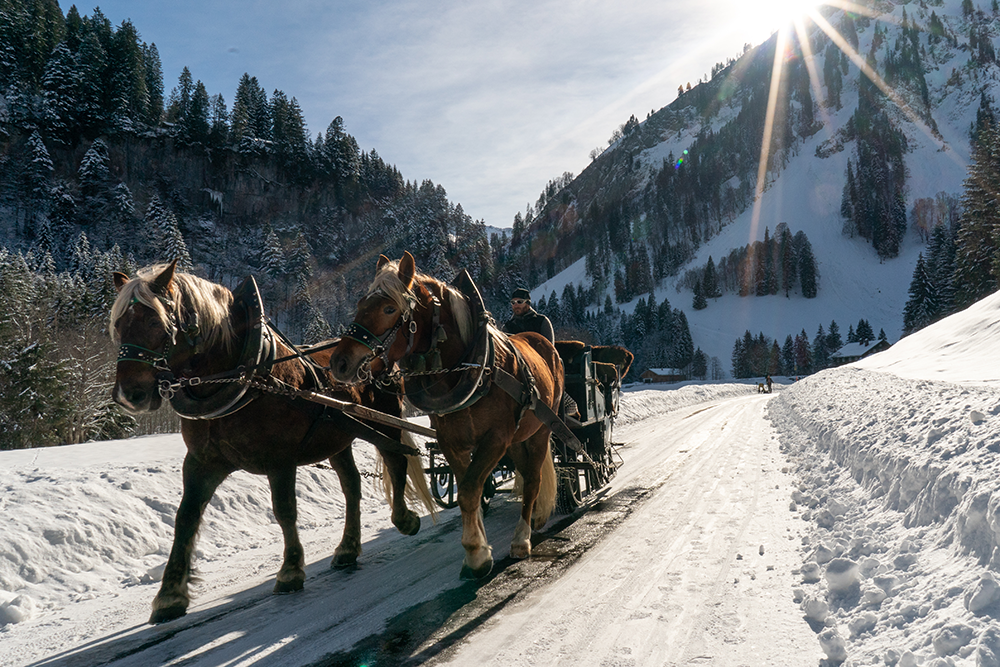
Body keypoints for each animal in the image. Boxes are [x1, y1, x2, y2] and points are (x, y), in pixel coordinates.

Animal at [111, 260, 436, 628]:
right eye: (119, 324)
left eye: (155, 322)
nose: (129, 394)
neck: (244, 376)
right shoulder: (201, 462)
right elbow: (186, 517)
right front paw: (170, 594)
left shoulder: (279, 459)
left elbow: (284, 510)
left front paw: (291, 570)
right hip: (339, 437)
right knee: (352, 486)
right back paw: (347, 548)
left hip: (384, 418)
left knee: (396, 461)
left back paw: (404, 518)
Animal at [328, 252, 564, 580]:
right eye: (361, 303)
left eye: (389, 308)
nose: (339, 363)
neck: (475, 367)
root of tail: (544, 344)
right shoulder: (452, 441)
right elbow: (470, 493)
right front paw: (479, 549)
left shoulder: (495, 439)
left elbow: (468, 491)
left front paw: (476, 554)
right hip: (518, 438)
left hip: (541, 429)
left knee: (532, 479)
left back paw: (522, 537)